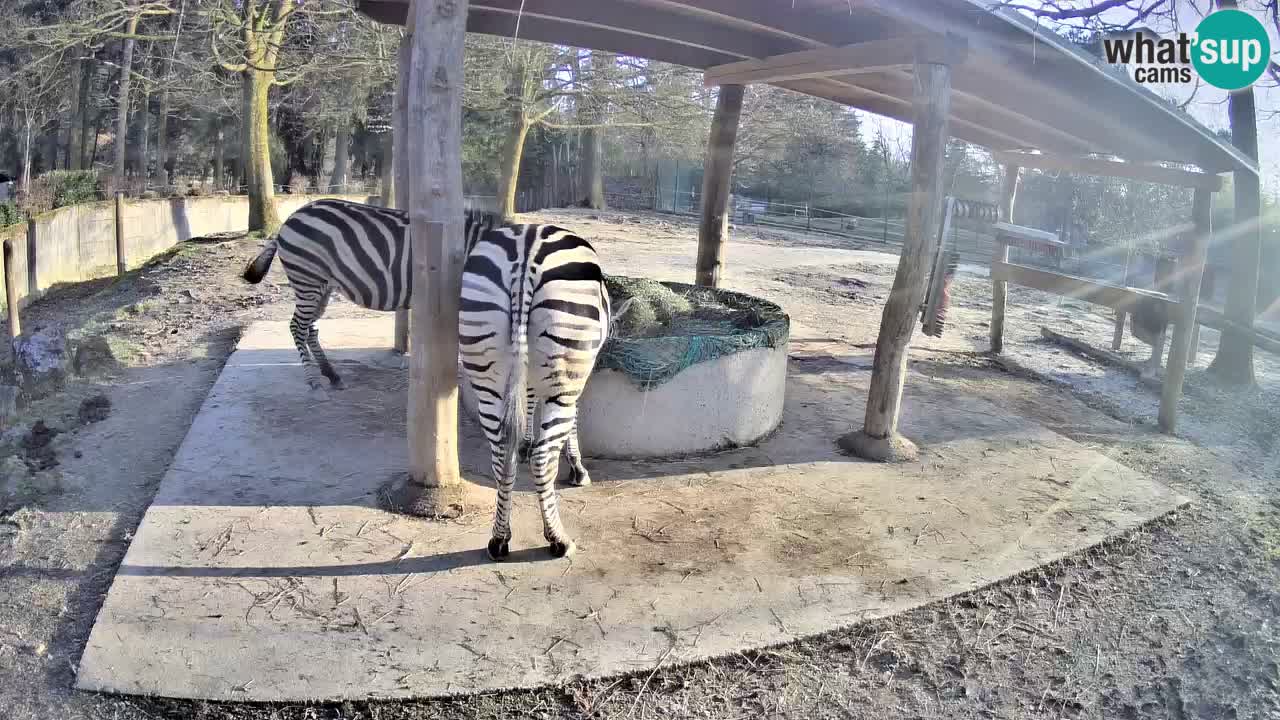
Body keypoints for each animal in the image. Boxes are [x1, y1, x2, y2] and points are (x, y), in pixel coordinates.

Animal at [240, 198, 500, 393]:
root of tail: (290, 219)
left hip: (321, 285)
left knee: (310, 329)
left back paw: (331, 375)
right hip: (307, 279)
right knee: (297, 327)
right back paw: (313, 381)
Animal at [459, 222, 611, 561]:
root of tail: (526, 248)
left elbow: (528, 402)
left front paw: (525, 442)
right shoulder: (576, 378)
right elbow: (573, 421)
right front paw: (577, 469)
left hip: (486, 374)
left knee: (501, 455)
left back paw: (499, 539)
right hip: (566, 365)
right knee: (543, 460)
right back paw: (558, 540)